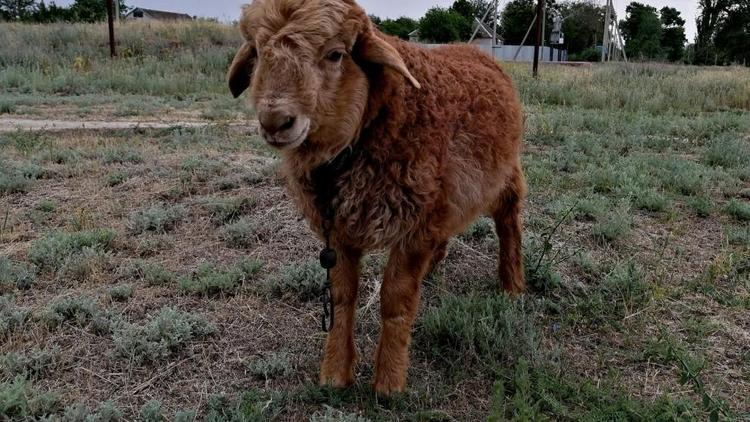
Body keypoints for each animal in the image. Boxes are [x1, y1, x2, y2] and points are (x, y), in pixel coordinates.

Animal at [226, 0, 524, 396]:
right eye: (257, 53)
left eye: (336, 54)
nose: (276, 121)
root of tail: (474, 51)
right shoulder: (338, 231)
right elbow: (342, 297)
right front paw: (335, 373)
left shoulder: (414, 226)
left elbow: (395, 301)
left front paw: (389, 382)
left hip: (504, 176)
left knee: (509, 224)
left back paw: (512, 286)